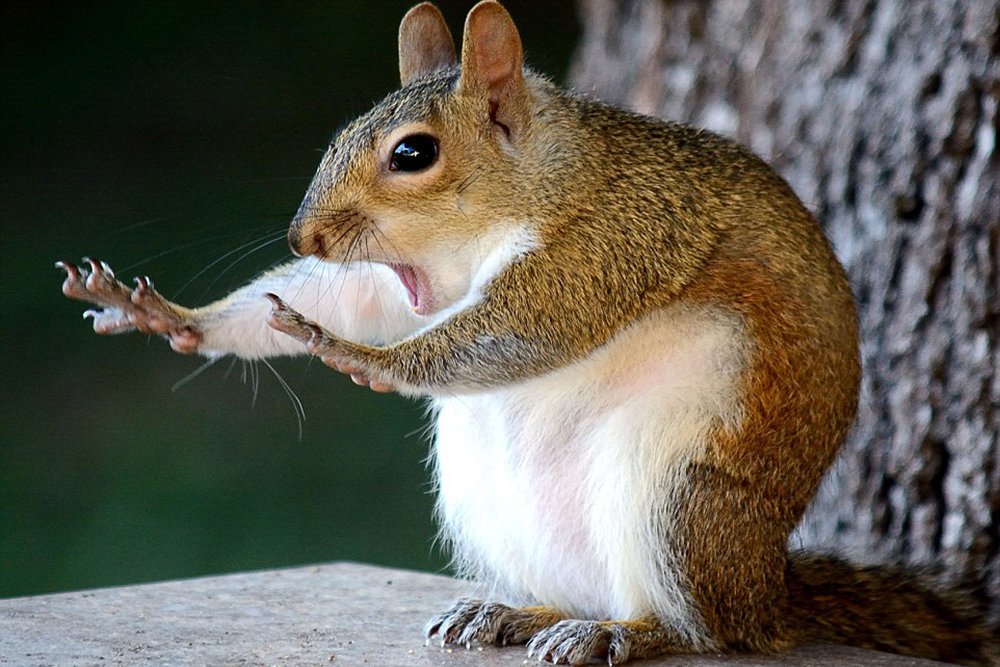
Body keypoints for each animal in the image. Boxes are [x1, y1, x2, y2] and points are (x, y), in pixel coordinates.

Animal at [57, 2, 994, 665]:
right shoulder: (404, 279)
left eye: (412, 153)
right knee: (579, 594)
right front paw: (172, 316)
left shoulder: (616, 239)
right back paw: (513, 611)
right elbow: (353, 298)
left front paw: (361, 356)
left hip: (680, 498)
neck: (537, 183)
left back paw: (628, 633)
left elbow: (523, 329)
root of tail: (768, 590)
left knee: (708, 631)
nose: (305, 237)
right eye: (343, 133)